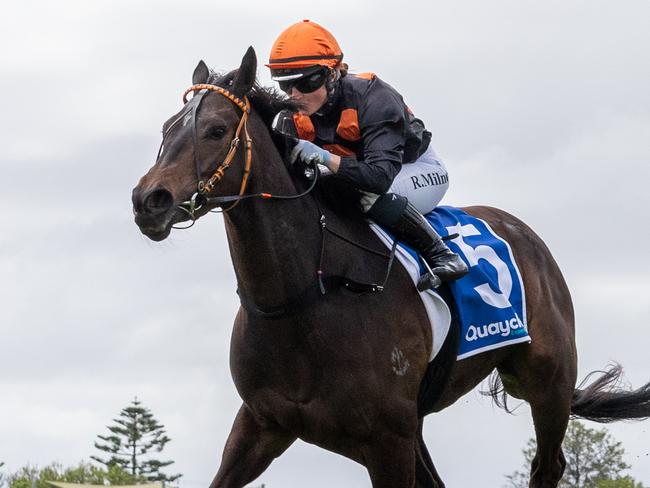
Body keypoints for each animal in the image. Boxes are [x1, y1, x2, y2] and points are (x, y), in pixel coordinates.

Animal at [132, 46, 648, 488]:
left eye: (216, 131)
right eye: (167, 129)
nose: (148, 200)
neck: (305, 294)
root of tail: (524, 232)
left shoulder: (387, 439)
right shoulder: (261, 423)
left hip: (548, 382)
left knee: (548, 465)